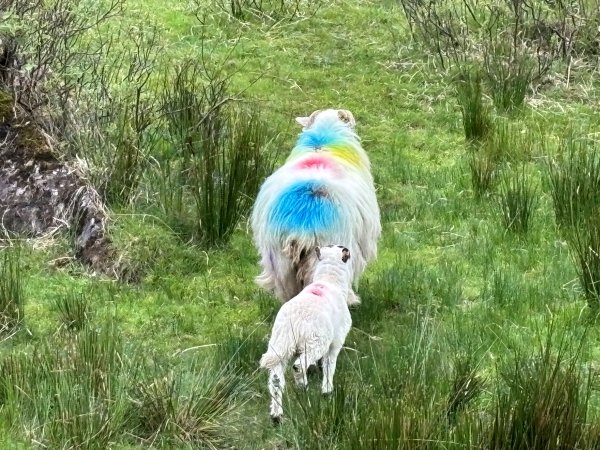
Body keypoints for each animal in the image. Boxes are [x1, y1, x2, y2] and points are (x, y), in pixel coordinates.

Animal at [260, 244, 354, 424]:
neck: (329, 279)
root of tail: (294, 320)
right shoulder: (336, 341)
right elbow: (329, 365)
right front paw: (327, 389)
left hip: (278, 345)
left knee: (275, 380)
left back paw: (277, 414)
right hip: (315, 341)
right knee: (298, 365)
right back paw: (302, 384)